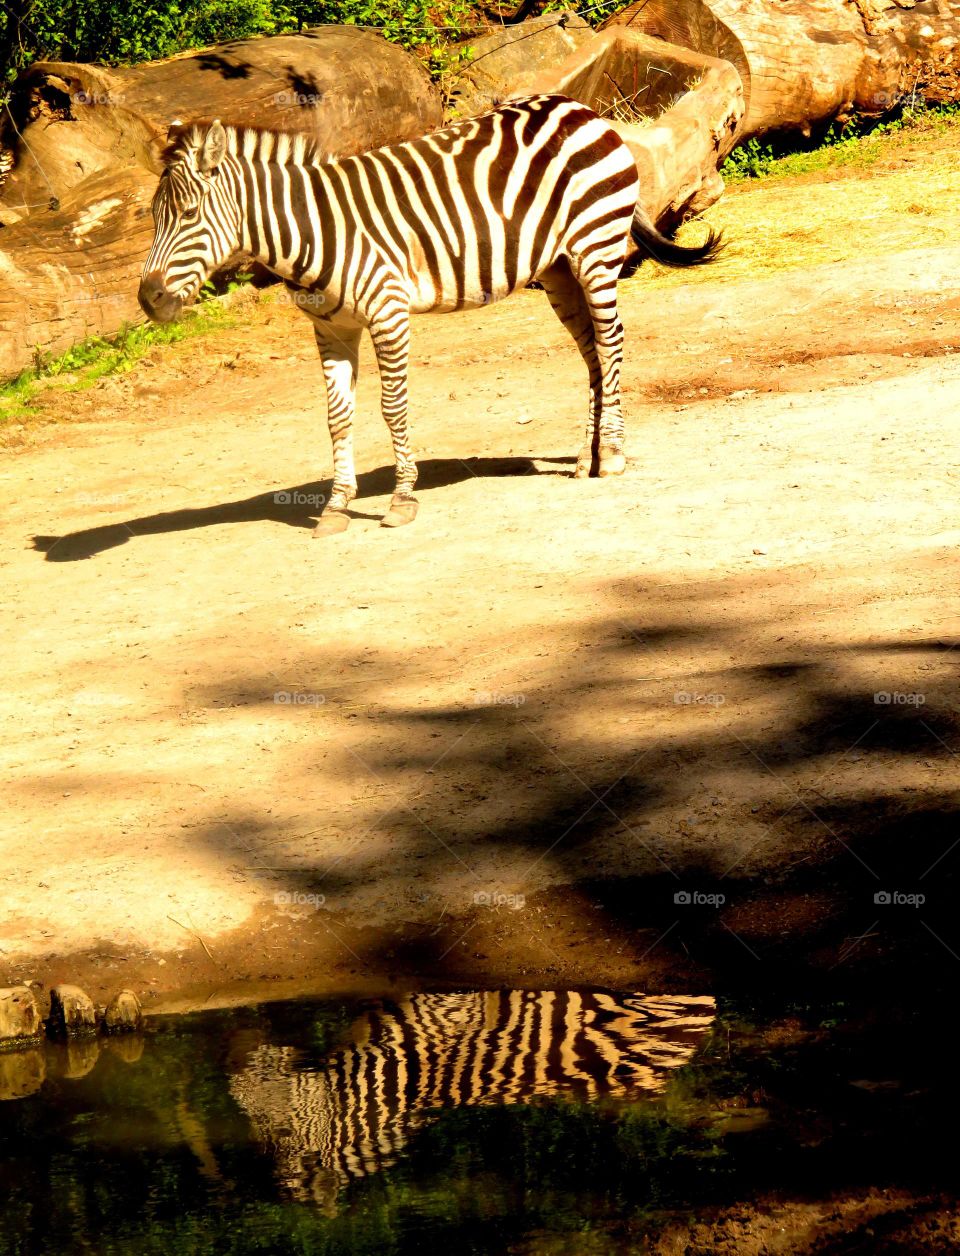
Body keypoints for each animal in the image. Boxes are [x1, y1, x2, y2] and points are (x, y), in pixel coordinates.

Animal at [138, 94, 718, 535]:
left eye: (189, 214)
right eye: (154, 219)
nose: (148, 299)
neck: (313, 228)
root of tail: (579, 108)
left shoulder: (388, 312)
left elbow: (392, 408)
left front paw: (401, 499)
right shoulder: (331, 328)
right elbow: (336, 417)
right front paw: (335, 506)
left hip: (594, 249)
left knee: (612, 341)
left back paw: (613, 456)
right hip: (556, 270)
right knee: (594, 354)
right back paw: (585, 458)